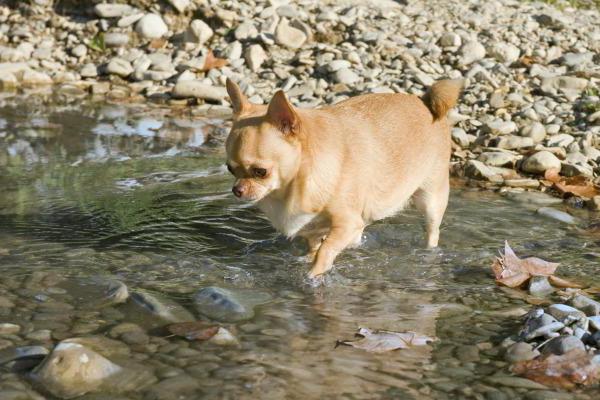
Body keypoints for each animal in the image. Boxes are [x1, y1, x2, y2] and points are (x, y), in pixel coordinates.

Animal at [223, 78, 462, 278]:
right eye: (230, 169)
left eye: (260, 171)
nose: (237, 189)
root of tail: (424, 102)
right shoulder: (314, 228)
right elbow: (315, 248)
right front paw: (306, 261)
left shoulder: (347, 223)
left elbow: (325, 250)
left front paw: (314, 275)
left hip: (430, 198)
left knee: (432, 230)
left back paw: (428, 252)